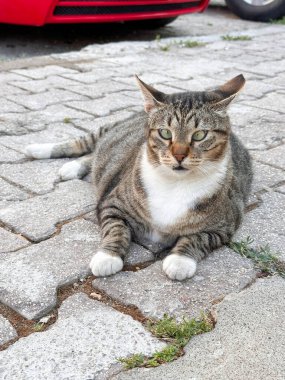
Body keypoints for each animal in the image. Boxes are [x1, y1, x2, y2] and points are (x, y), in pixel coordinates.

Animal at [24, 75, 251, 282]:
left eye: (199, 135)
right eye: (165, 133)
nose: (179, 156)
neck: (175, 184)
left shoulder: (225, 225)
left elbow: (198, 238)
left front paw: (180, 260)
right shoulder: (112, 203)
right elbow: (116, 229)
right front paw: (107, 257)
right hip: (109, 130)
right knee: (85, 143)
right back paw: (40, 151)